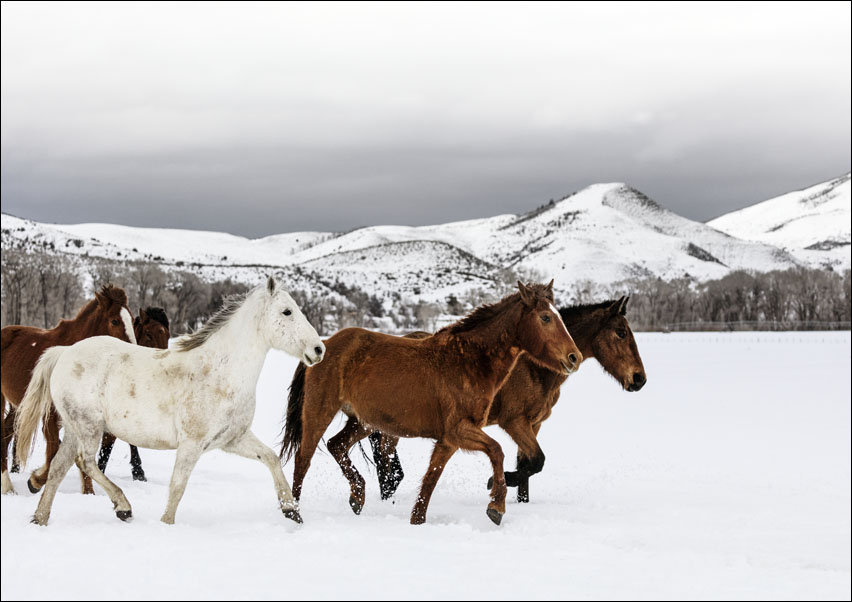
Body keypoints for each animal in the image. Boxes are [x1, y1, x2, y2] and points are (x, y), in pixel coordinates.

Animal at [1, 285, 136, 496]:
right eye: (114, 320)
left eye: (132, 319)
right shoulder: (49, 416)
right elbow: (54, 451)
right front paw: (35, 481)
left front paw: (89, 493)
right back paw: (8, 485)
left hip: (19, 405)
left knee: (6, 431)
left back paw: (7, 486)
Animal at [280, 281, 582, 526]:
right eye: (545, 317)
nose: (574, 357)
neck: (468, 361)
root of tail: (323, 345)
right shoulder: (460, 430)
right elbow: (496, 451)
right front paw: (496, 506)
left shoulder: (449, 440)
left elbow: (429, 481)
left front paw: (418, 522)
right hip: (320, 412)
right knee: (303, 459)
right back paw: (294, 513)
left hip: (364, 421)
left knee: (336, 445)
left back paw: (357, 496)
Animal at [369, 296, 647, 503]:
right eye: (621, 332)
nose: (639, 379)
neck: (534, 365)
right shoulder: (514, 422)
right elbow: (536, 462)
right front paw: (495, 482)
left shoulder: (534, 424)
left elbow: (528, 466)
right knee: (384, 462)